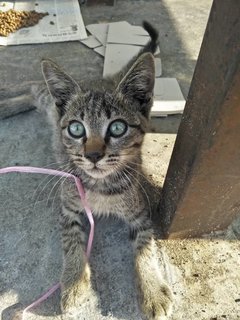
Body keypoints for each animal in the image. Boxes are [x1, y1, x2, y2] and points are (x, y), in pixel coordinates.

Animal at [35, 21, 172, 318]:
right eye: (76, 129)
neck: (100, 185)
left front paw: (152, 290)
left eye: (117, 127)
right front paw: (74, 282)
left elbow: (145, 247)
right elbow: (72, 242)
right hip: (47, 101)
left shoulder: (141, 213)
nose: (94, 155)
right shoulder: (68, 207)